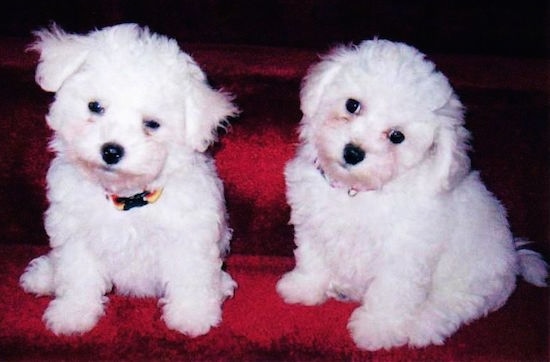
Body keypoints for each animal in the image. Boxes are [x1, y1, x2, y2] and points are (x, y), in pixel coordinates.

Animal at [20, 24, 239, 336]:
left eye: (152, 124)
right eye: (95, 106)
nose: (111, 150)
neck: (128, 199)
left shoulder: (189, 234)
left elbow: (190, 275)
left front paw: (192, 315)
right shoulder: (76, 233)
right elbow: (77, 274)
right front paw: (72, 314)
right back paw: (45, 275)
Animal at [278, 39, 548, 350]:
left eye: (397, 136)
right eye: (352, 105)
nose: (353, 152)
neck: (355, 191)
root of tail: (514, 257)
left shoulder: (404, 255)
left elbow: (390, 293)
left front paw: (377, 329)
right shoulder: (313, 223)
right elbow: (312, 257)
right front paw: (304, 287)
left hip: (470, 277)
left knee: (449, 307)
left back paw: (421, 327)